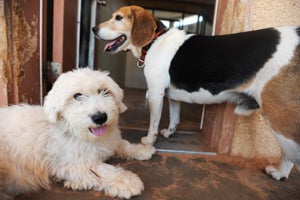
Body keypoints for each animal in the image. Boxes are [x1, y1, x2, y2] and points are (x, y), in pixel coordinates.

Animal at [0, 68, 155, 199]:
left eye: (104, 91)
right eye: (77, 96)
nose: (100, 117)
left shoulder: (110, 142)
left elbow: (123, 145)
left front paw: (141, 149)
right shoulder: (74, 163)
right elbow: (103, 171)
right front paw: (126, 181)